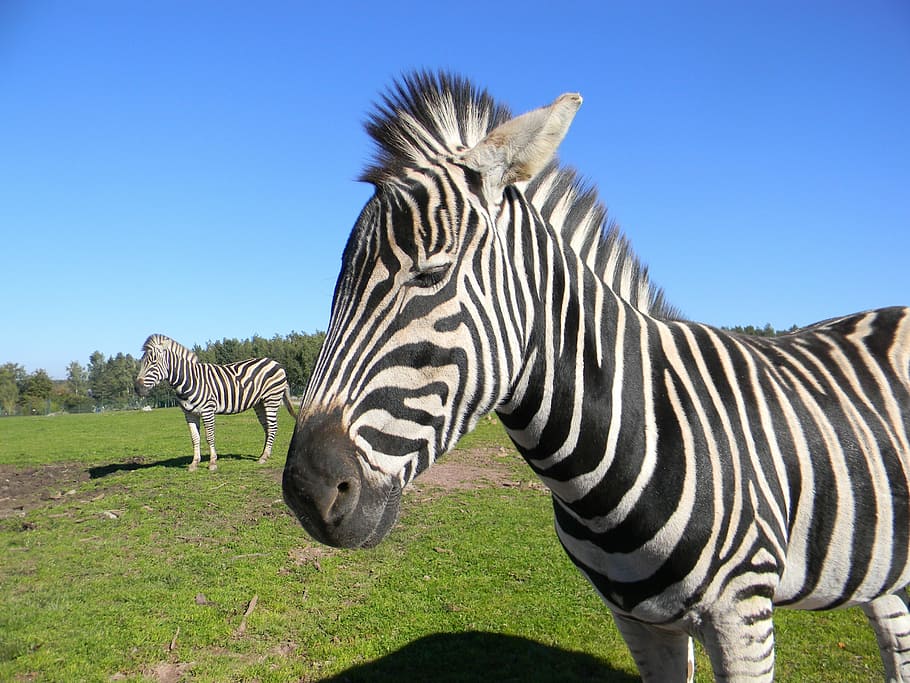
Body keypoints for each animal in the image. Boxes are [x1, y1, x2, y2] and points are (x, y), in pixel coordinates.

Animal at [136, 334, 297, 471]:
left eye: (153, 362)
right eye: (141, 363)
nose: (137, 388)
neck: (190, 380)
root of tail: (277, 363)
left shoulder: (207, 410)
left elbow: (209, 436)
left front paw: (212, 463)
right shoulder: (189, 413)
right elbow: (195, 438)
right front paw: (194, 463)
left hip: (271, 399)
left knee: (273, 427)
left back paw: (263, 457)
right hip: (259, 403)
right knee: (268, 428)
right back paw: (264, 454)